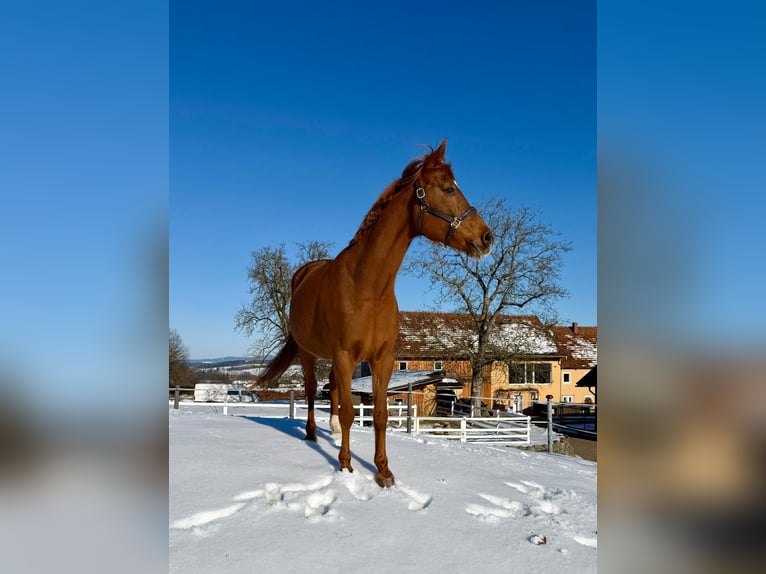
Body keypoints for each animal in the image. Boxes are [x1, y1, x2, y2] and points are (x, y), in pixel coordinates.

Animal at [253, 139, 493, 487]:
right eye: (449, 189)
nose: (487, 238)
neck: (367, 286)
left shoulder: (382, 359)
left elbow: (379, 415)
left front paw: (383, 471)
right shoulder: (344, 355)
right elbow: (351, 413)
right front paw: (346, 466)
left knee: (332, 388)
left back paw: (331, 430)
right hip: (309, 353)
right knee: (312, 391)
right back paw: (312, 434)